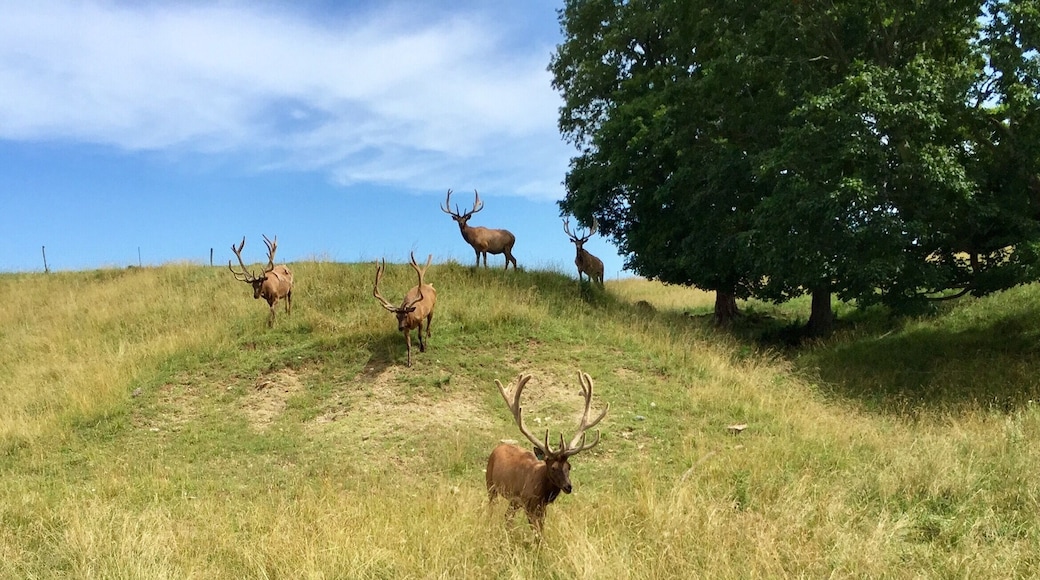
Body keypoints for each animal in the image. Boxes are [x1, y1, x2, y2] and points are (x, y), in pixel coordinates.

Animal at [486, 371, 609, 533]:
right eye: (554, 467)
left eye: (569, 467)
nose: (568, 487)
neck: (541, 492)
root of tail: (497, 448)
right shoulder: (527, 503)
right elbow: (536, 532)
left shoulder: (541, 507)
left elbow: (541, 530)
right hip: (490, 484)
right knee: (493, 507)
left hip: (512, 500)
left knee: (507, 517)